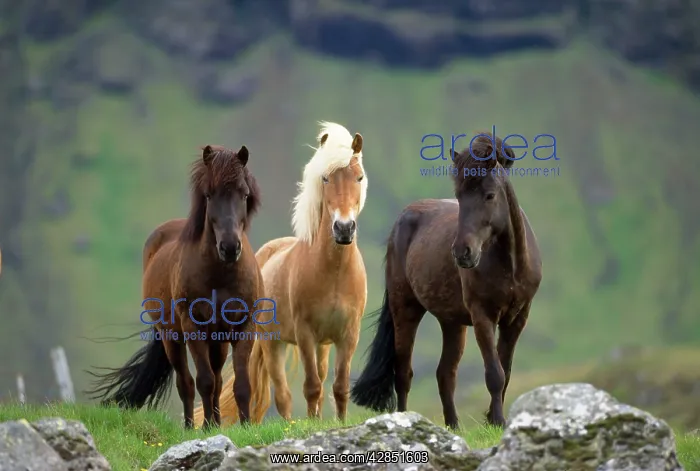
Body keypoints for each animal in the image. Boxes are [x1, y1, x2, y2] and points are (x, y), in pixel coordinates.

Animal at [86, 144, 263, 429]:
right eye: (208, 194)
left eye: (244, 194)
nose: (229, 247)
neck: (221, 276)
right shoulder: (193, 328)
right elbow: (203, 382)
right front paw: (205, 428)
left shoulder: (244, 328)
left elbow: (241, 384)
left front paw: (246, 427)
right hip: (173, 338)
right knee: (187, 383)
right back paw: (193, 426)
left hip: (218, 341)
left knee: (217, 380)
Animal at [193, 121, 368, 425]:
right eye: (325, 179)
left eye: (358, 177)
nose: (344, 229)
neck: (334, 273)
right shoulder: (304, 333)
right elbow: (311, 387)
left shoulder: (348, 335)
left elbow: (339, 387)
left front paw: (340, 423)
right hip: (272, 344)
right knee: (284, 395)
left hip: (322, 345)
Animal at [350, 133, 542, 429]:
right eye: (459, 196)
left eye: (489, 195)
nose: (462, 252)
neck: (510, 266)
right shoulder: (483, 317)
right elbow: (494, 374)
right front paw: (497, 420)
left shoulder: (517, 318)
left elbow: (506, 371)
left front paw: (494, 419)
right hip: (405, 309)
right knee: (403, 372)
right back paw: (405, 419)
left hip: (452, 323)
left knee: (445, 373)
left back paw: (453, 424)